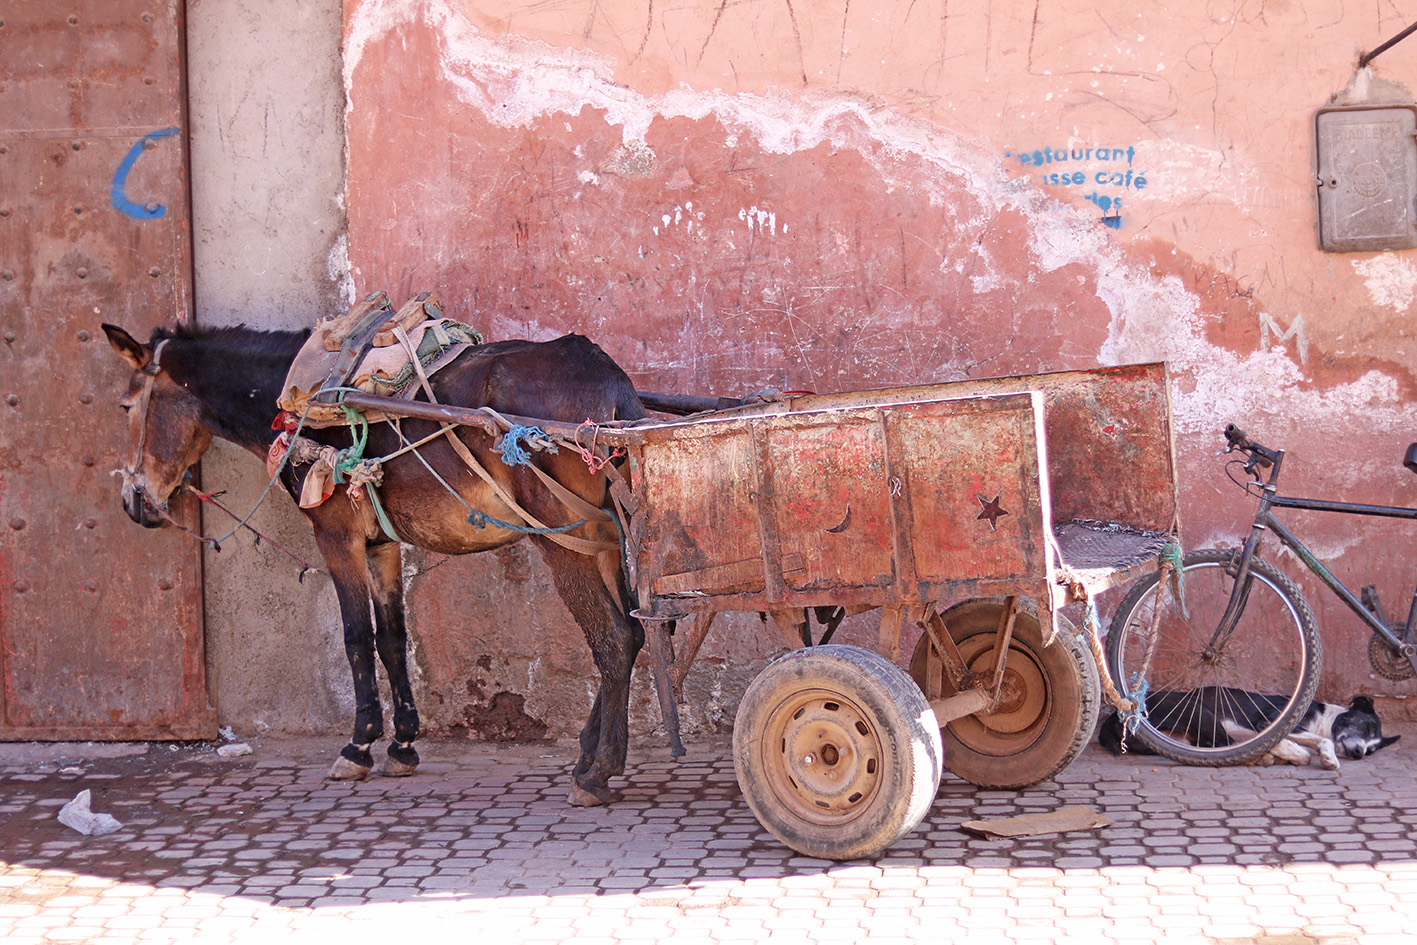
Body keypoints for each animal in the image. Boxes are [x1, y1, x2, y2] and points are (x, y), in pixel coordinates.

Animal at [1093, 691, 1394, 770]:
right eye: (1366, 726)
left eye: (1373, 749)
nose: (1359, 753)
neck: (1323, 717)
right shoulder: (1269, 723)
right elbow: (1311, 744)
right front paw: (1298, 754)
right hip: (1199, 711)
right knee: (1221, 745)